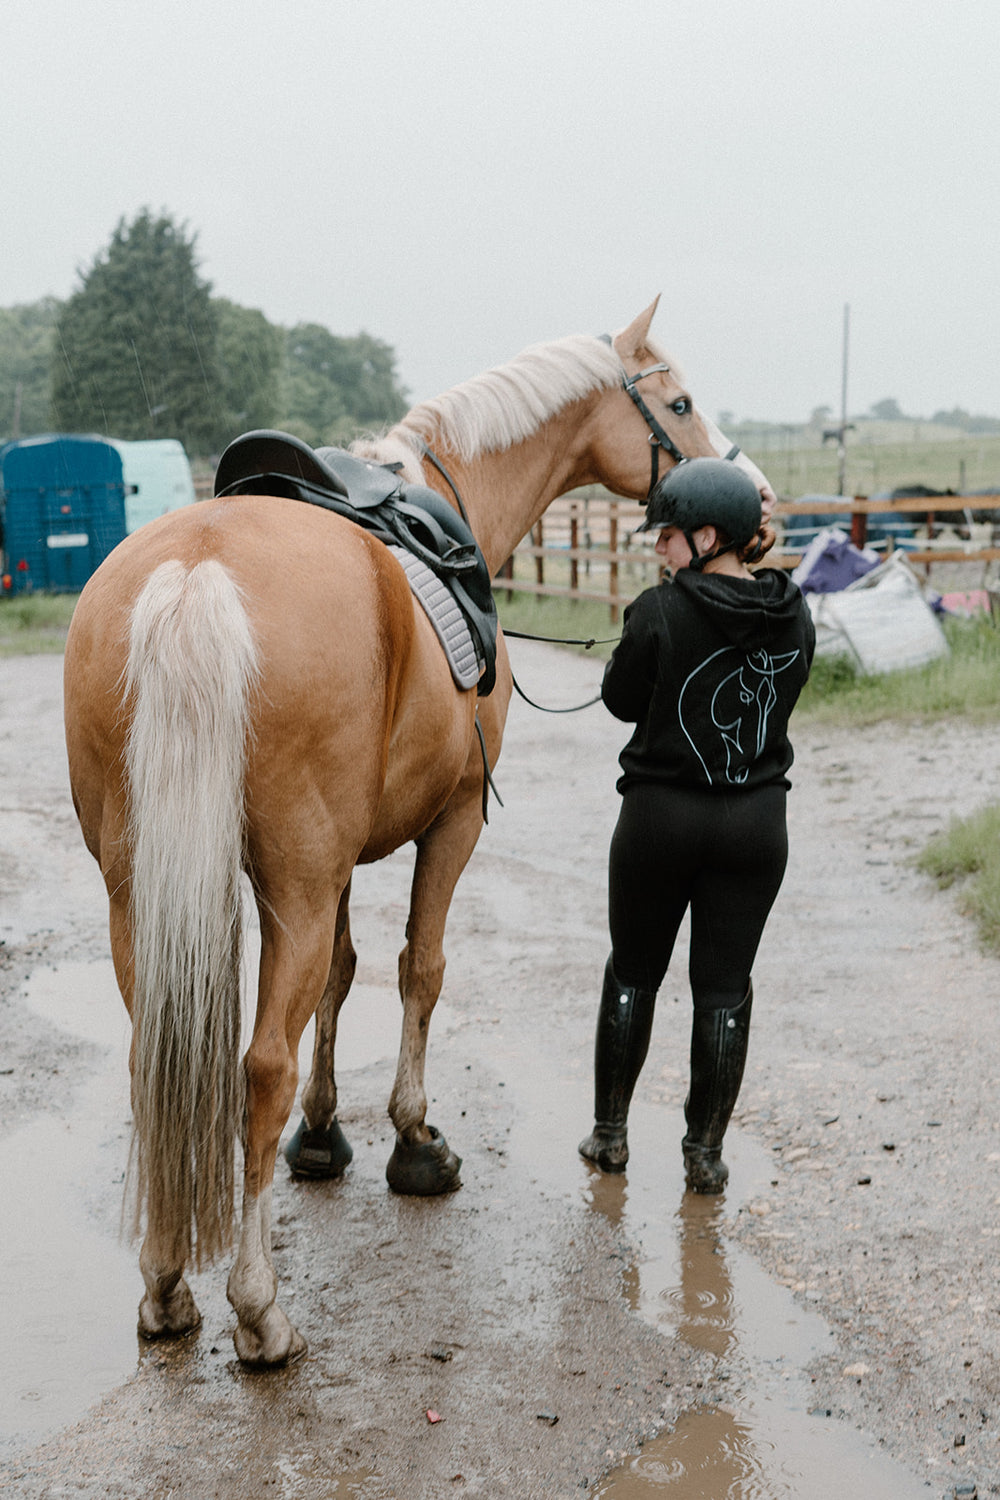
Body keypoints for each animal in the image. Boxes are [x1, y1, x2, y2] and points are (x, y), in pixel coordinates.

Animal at [63, 298, 775, 1367]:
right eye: (680, 403)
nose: (764, 504)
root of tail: (199, 571)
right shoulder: (452, 823)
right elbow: (419, 970)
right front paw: (412, 1142)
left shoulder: (339, 864)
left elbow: (342, 976)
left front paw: (323, 1138)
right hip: (293, 881)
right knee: (257, 1069)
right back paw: (259, 1309)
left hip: (142, 891)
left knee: (164, 1056)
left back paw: (166, 1287)